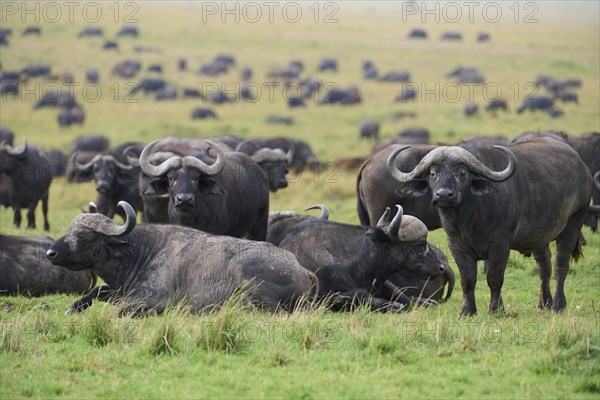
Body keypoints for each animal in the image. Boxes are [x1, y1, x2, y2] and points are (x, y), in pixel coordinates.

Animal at [46, 203, 314, 316]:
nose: (50, 253)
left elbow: (120, 310)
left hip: (248, 279)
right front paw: (73, 308)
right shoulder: (121, 290)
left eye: (81, 235)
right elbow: (98, 291)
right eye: (69, 229)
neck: (143, 253)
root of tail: (304, 271)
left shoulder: (150, 300)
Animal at [268, 205, 446, 310]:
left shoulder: (381, 282)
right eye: (421, 244)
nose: (441, 267)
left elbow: (400, 294)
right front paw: (392, 306)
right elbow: (362, 294)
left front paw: (422, 301)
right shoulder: (328, 297)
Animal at [386, 139, 592, 318]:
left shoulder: (500, 246)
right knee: (544, 267)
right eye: (433, 173)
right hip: (539, 237)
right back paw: (543, 305)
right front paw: (467, 311)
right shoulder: (457, 246)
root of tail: (583, 167)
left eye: (462, 173)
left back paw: (558, 305)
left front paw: (495, 310)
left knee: (561, 265)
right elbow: (467, 279)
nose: (443, 194)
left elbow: (494, 278)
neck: (469, 219)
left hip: (573, 224)